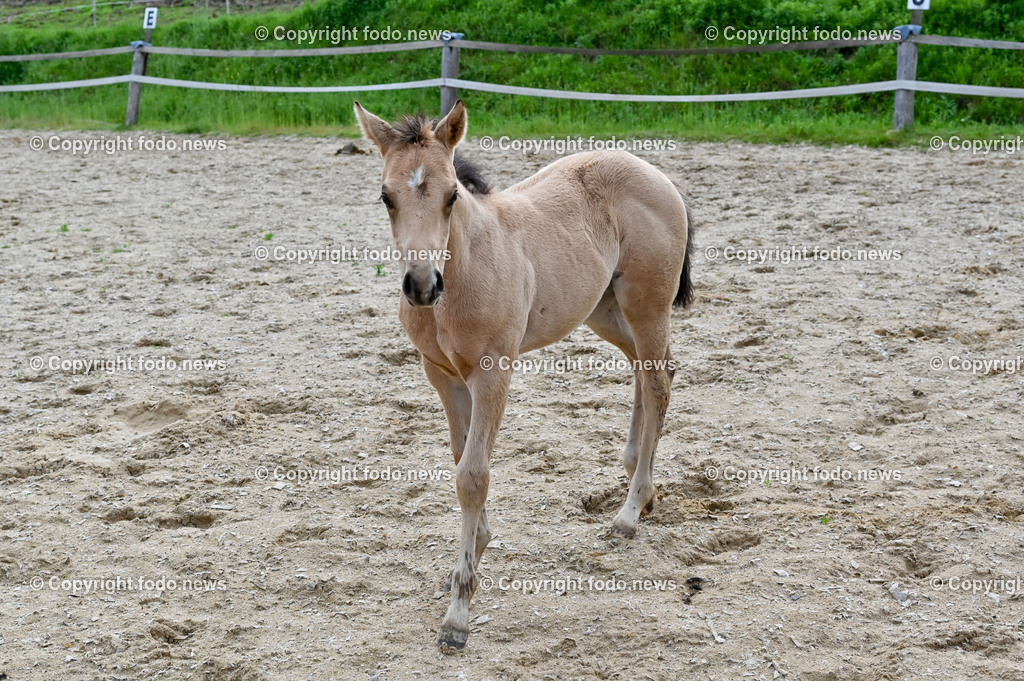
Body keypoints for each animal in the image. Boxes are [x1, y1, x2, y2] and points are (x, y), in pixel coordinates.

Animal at [353, 100, 694, 651]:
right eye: (386, 197)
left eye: (452, 195)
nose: (422, 286)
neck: (464, 273)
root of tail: (657, 174)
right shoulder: (443, 376)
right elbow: (461, 461)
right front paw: (476, 552)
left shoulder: (493, 373)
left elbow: (472, 476)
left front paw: (458, 614)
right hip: (604, 311)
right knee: (648, 371)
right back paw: (639, 486)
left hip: (646, 306)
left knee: (659, 383)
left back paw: (629, 510)